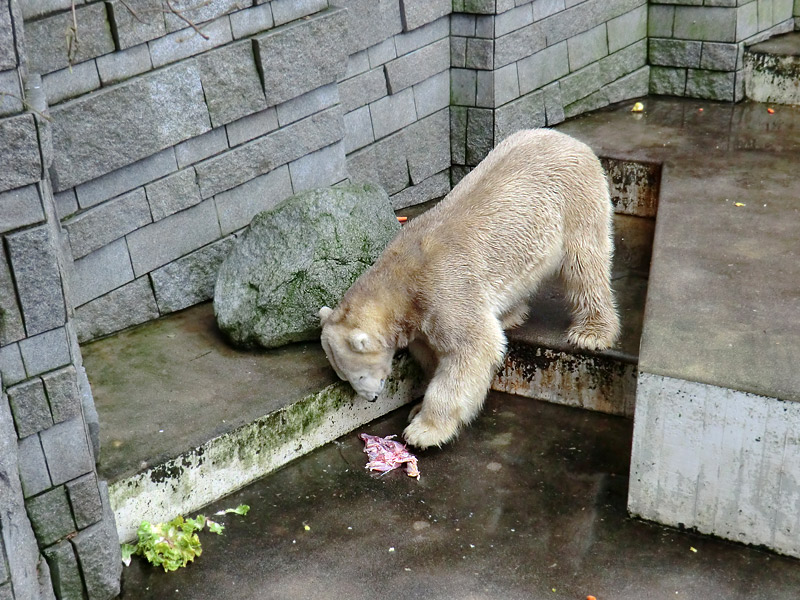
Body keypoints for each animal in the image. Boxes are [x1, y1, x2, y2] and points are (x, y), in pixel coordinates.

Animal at [318, 129, 620, 448]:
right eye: (344, 376)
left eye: (357, 375)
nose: (372, 398)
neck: (401, 280)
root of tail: (569, 139)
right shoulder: (420, 318)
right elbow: (431, 353)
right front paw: (417, 407)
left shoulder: (443, 288)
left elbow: (472, 348)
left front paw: (423, 430)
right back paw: (509, 315)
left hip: (574, 199)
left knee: (584, 264)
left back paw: (591, 332)